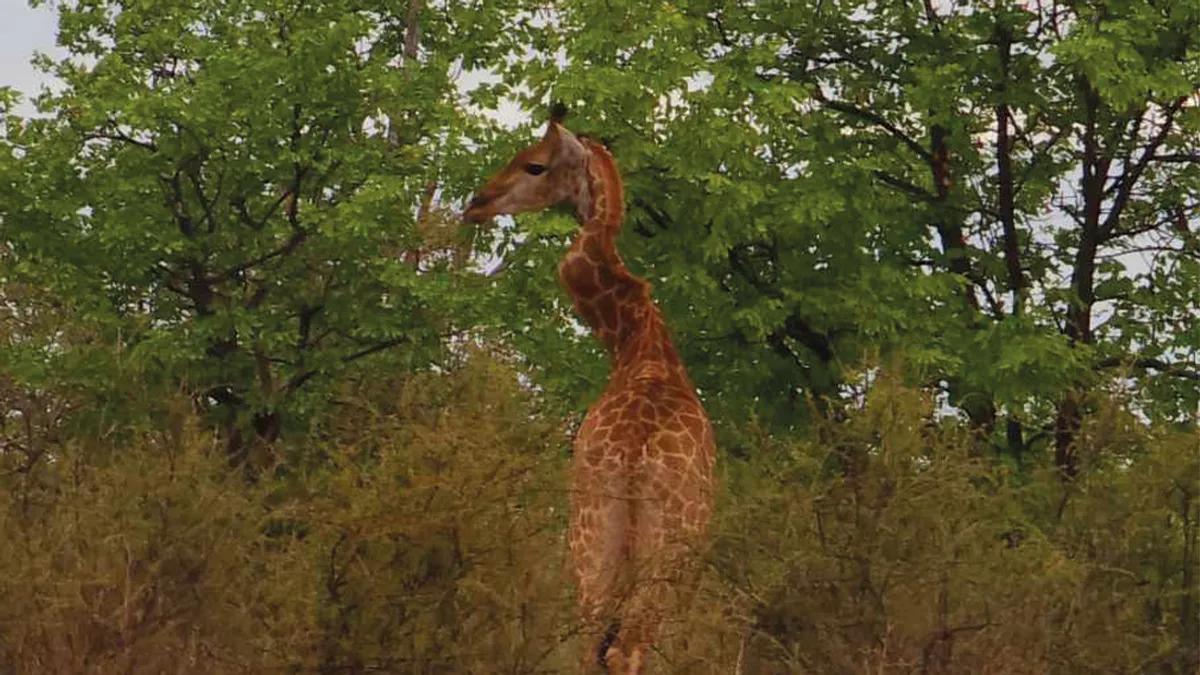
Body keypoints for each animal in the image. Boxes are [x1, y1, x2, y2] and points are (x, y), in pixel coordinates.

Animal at [463, 107, 715, 667]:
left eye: (534, 164)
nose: (476, 203)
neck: (635, 342)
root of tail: (633, 459)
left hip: (595, 544)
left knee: (592, 646)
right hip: (647, 553)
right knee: (622, 650)